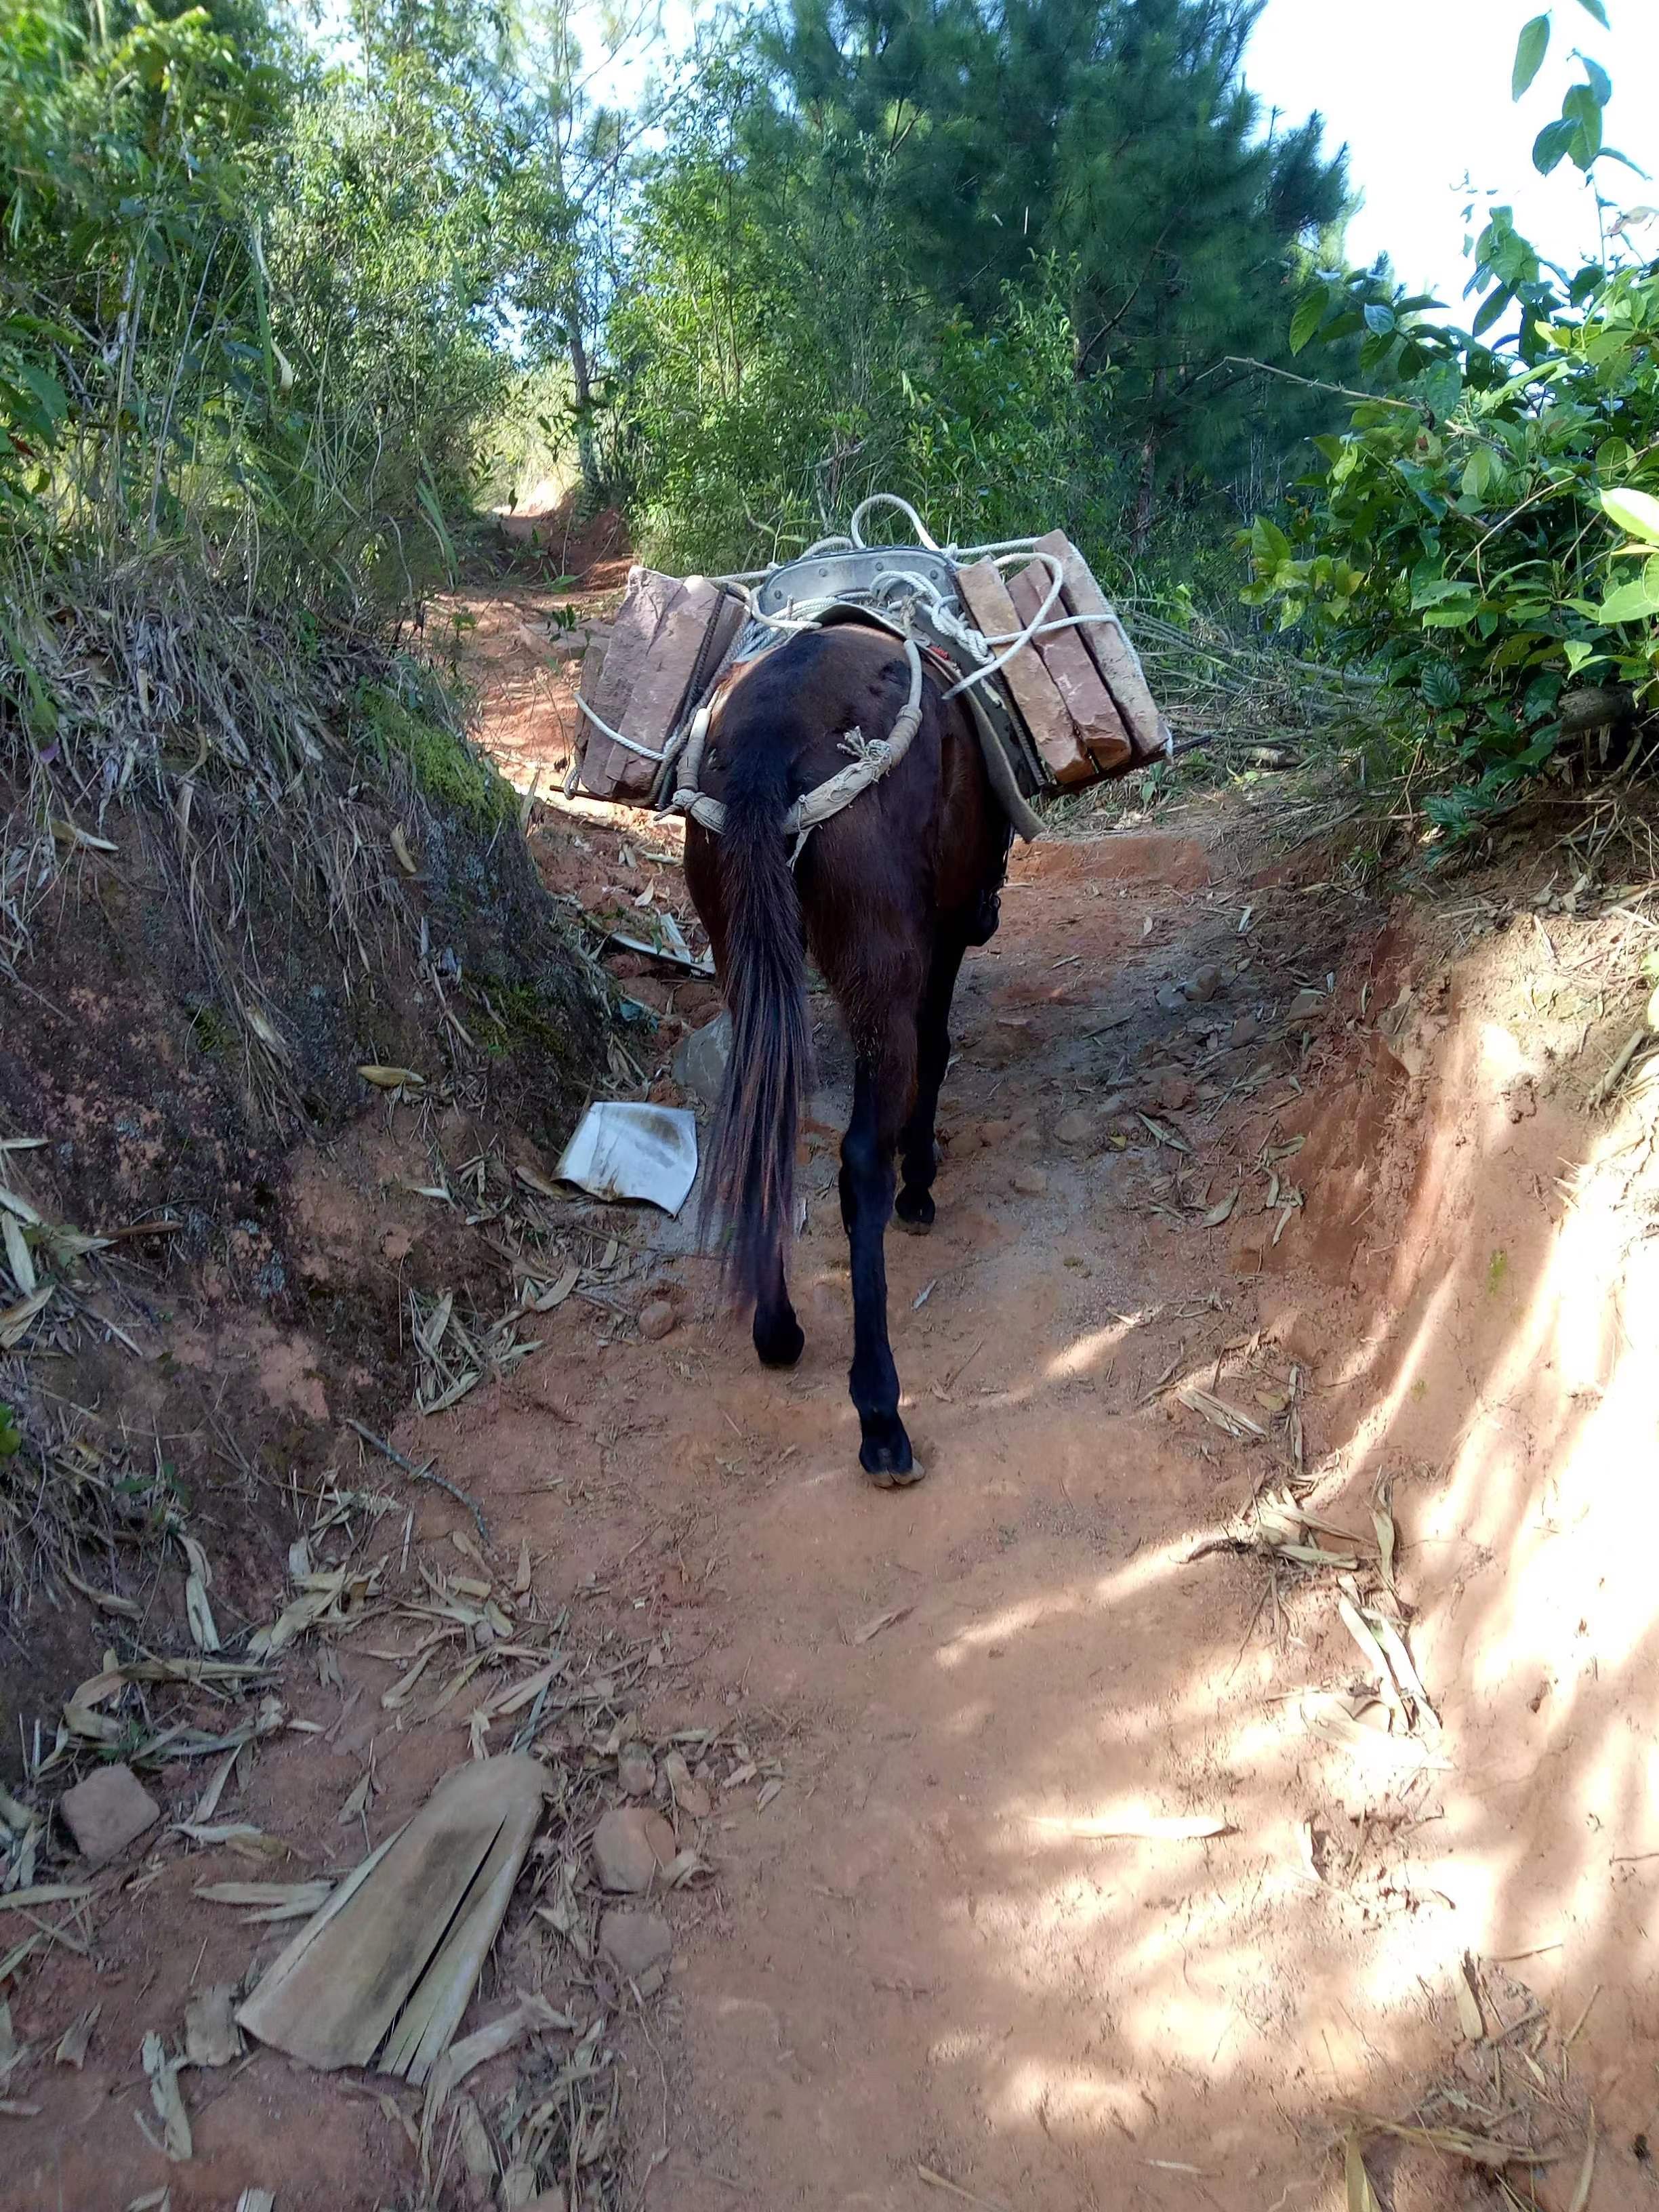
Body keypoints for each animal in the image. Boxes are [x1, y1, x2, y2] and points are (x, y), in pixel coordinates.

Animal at [685, 623, 1012, 1486]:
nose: (993, 915)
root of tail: (770, 737)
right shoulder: (939, 938)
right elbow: (935, 1050)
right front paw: (921, 1187)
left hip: (740, 947)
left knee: (767, 1124)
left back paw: (776, 1331)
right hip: (879, 969)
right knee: (861, 1158)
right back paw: (880, 1415)